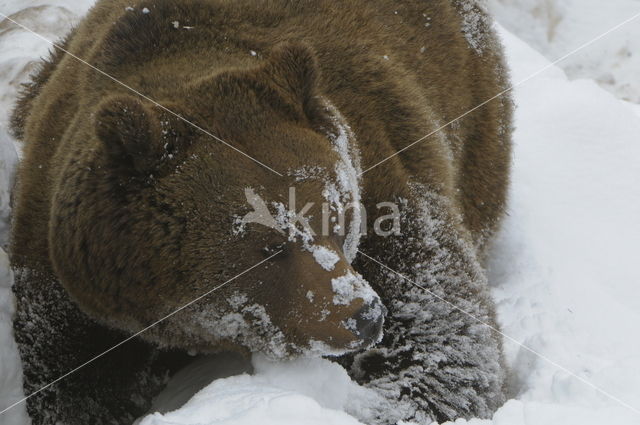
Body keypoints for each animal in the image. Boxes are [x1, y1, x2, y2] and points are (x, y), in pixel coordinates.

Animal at [8, 0, 510, 424]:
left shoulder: (381, 168)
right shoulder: (66, 264)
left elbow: (444, 334)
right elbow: (71, 379)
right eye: (269, 247)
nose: (363, 316)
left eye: (337, 217)